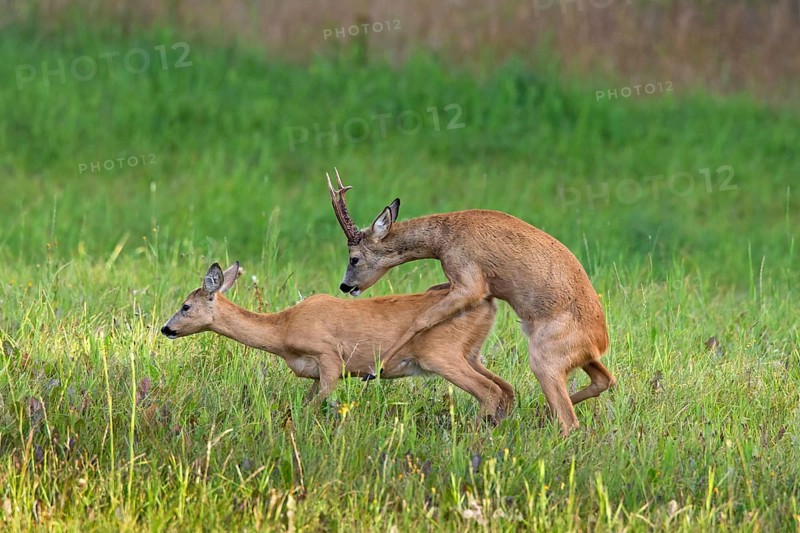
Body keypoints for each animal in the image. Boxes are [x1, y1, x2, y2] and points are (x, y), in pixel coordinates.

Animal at [160, 262, 515, 422]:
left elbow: (314, 406)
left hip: (442, 354)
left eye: (186, 306)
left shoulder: (329, 356)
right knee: (507, 388)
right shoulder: (316, 373)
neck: (283, 330)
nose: (166, 328)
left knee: (489, 391)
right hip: (471, 353)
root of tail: (488, 303)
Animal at [327, 169, 616, 435]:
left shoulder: (470, 280)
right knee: (604, 380)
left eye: (354, 258)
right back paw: (532, 412)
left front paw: (375, 369)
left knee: (569, 421)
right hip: (579, 357)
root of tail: (601, 341)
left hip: (545, 358)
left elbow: (422, 319)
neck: (444, 238)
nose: (345, 286)